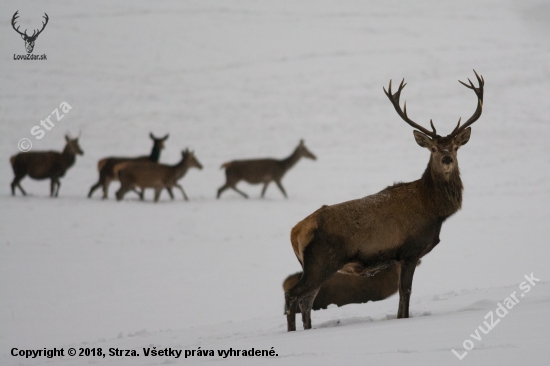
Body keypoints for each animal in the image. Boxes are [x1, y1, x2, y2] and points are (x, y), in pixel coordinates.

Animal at [286, 71, 486, 332]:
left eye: (454, 147)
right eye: (432, 148)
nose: (446, 158)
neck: (434, 210)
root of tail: (295, 231)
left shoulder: (400, 257)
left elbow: (402, 295)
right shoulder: (410, 250)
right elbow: (406, 292)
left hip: (314, 265)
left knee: (306, 301)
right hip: (321, 261)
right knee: (293, 295)